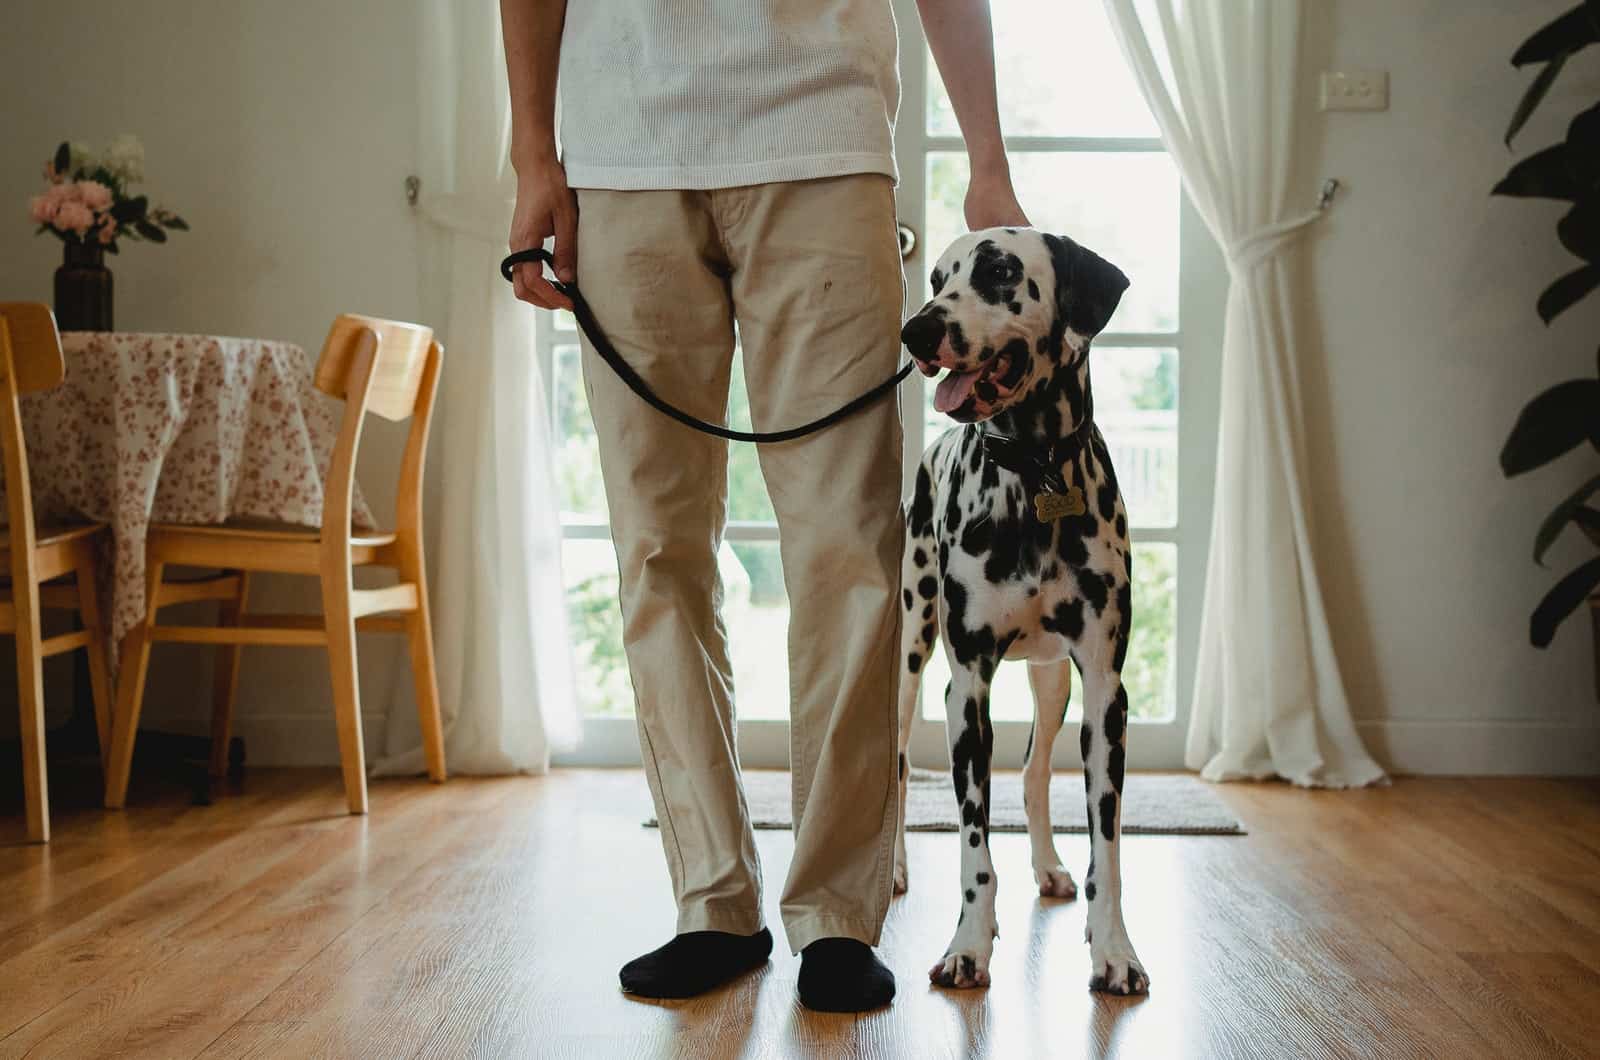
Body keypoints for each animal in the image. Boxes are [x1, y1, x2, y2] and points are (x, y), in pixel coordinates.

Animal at [889, 228, 1152, 999]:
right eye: (938, 278)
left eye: (1002, 271)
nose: (918, 330)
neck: (1035, 475)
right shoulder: (966, 689)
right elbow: (974, 849)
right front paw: (968, 947)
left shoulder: (1105, 693)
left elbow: (1107, 849)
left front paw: (1114, 949)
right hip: (909, 651)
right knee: (893, 762)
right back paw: (894, 869)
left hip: (1052, 681)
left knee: (1035, 776)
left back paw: (1046, 866)